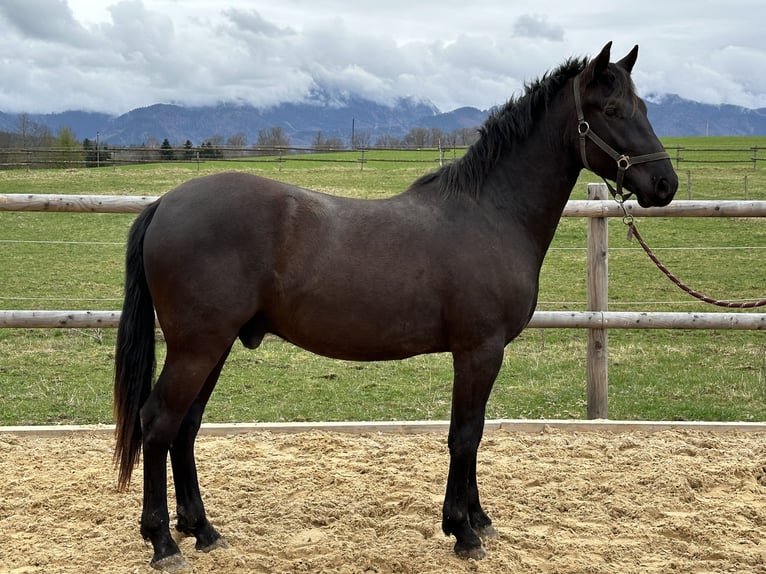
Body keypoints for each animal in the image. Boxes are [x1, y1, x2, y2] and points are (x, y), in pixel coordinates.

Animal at [112, 41, 680, 572]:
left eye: (643, 106)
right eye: (613, 110)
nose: (665, 184)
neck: (491, 214)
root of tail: (165, 204)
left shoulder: (480, 354)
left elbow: (473, 433)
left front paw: (479, 520)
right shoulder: (479, 351)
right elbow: (464, 435)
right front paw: (462, 531)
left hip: (215, 345)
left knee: (185, 427)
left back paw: (202, 530)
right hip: (198, 346)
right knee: (158, 423)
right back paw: (163, 542)